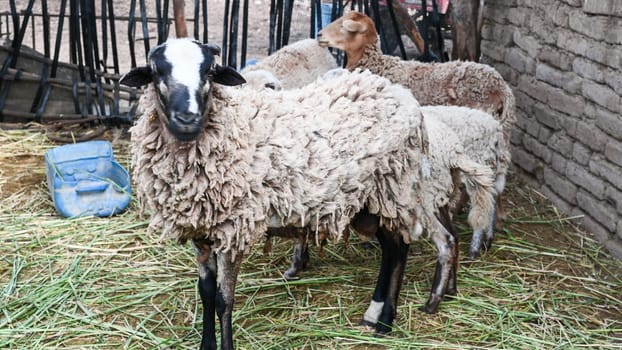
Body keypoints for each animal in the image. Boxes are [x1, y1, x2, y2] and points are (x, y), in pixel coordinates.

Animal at [122, 39, 486, 348]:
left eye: (210, 72)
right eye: (156, 73)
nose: (187, 118)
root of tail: (398, 92)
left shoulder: (234, 229)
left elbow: (225, 300)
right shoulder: (202, 231)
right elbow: (207, 294)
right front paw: (206, 345)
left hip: (392, 188)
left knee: (399, 249)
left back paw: (384, 322)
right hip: (369, 200)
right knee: (393, 248)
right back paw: (374, 316)